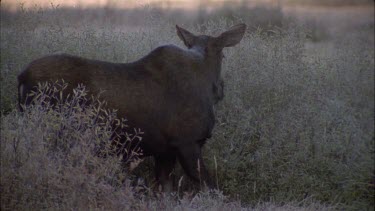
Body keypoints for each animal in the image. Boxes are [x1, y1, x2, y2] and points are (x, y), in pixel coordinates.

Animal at [16, 23, 247, 191]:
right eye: (223, 55)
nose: (221, 89)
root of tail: (22, 76)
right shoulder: (187, 142)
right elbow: (211, 188)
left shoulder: (165, 150)